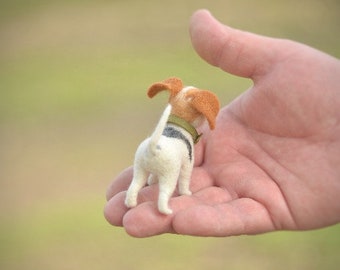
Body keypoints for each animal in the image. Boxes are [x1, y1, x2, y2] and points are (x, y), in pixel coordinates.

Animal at [125, 77, 220, 214]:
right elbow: (185, 180)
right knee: (163, 195)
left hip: (139, 170)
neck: (177, 125)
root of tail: (153, 148)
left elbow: (152, 177)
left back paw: (131, 204)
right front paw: (186, 193)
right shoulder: (187, 164)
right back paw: (166, 211)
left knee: (133, 187)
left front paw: (152, 181)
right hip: (169, 175)